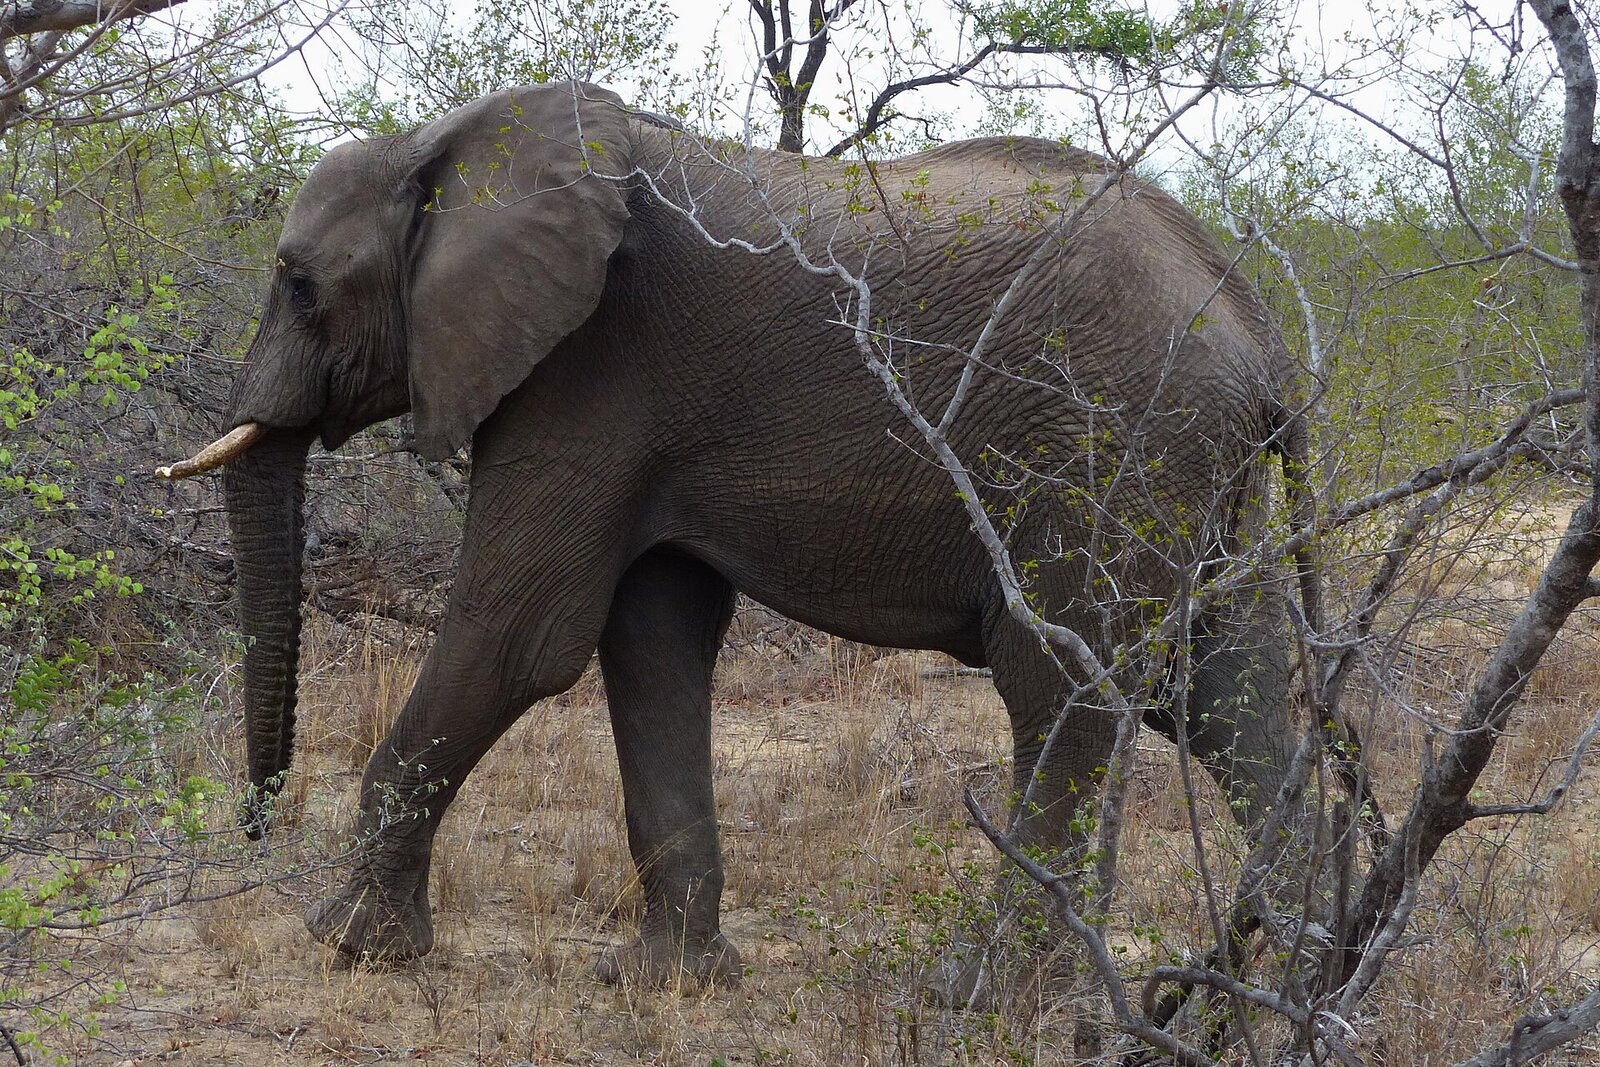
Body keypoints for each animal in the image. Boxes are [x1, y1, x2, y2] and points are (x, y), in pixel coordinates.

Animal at [158, 81, 1306, 985]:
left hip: (1106, 451)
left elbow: (517, 637)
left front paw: (345, 943)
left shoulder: (589, 370)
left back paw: (983, 991)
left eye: (300, 284)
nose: (254, 823)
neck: (447, 143)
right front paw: (667, 980)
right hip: (1189, 475)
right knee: (1225, 691)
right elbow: (650, 643)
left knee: (1065, 692)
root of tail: (1259, 333)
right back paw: (1298, 970)